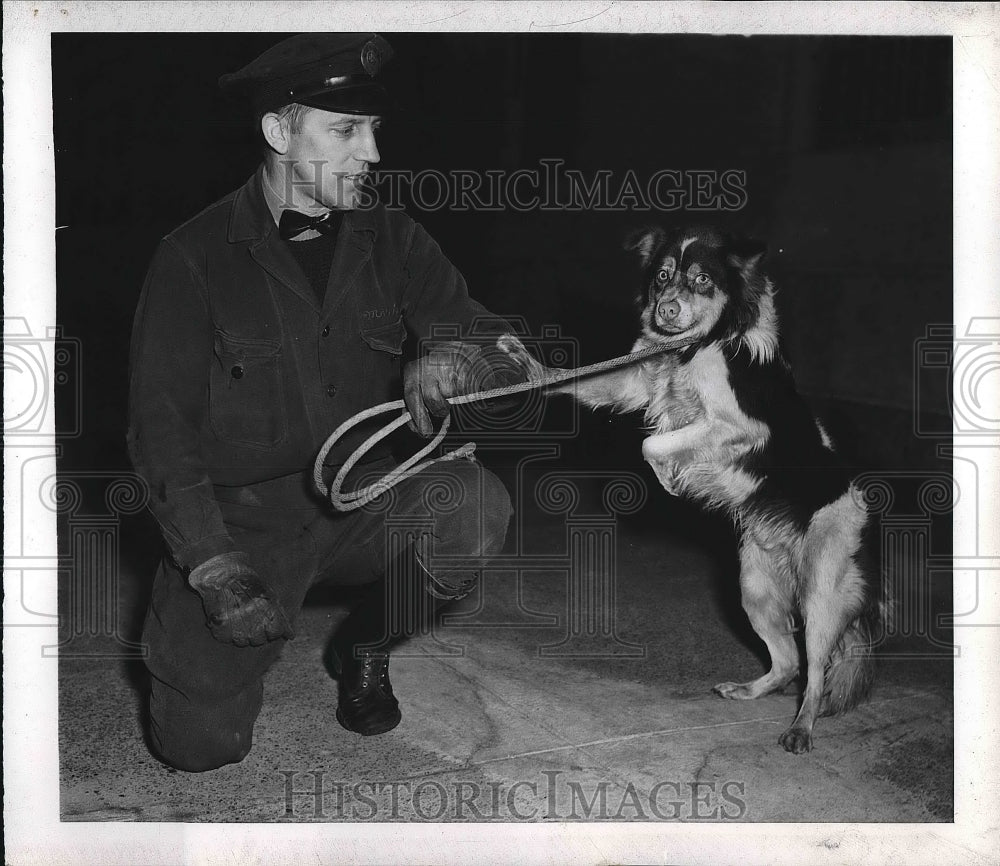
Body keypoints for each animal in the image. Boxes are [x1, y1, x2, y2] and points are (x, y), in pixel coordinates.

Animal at [498, 226, 884, 752]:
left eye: (702, 279)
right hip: (754, 586)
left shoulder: (738, 425)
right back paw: (749, 691)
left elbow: (653, 444)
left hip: (820, 590)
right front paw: (533, 370)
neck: (701, 343)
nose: (667, 310)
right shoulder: (636, 382)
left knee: (817, 671)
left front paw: (667, 478)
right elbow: (585, 382)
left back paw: (802, 727)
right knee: (789, 663)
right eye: (662, 276)